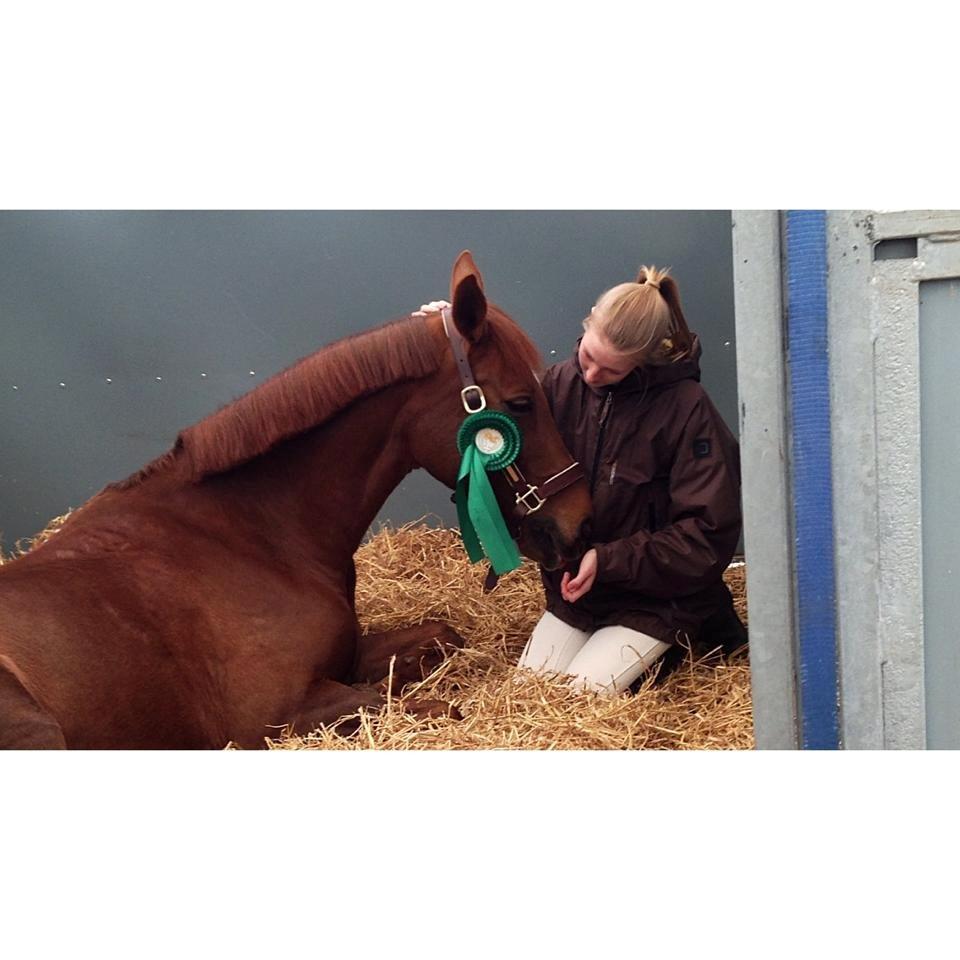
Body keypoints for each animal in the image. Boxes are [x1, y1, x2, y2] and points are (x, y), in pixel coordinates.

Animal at [0, 252, 592, 749]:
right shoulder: (272, 717)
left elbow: (444, 636)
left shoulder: (348, 656)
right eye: (521, 401)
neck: (251, 535)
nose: (580, 518)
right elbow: (435, 707)